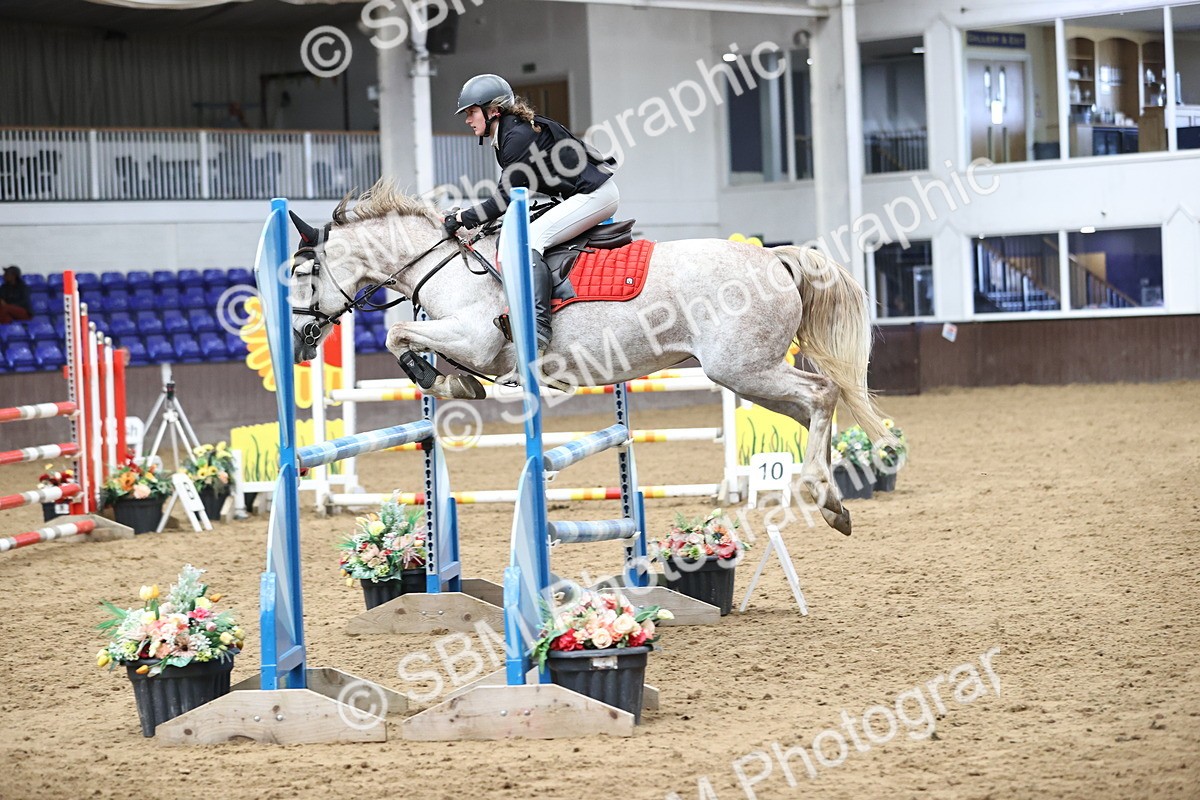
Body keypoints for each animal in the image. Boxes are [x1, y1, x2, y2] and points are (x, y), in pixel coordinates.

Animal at [286, 184, 887, 535]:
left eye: (300, 271)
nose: (298, 343)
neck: (445, 264)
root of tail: (775, 259)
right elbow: (413, 341)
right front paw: (456, 384)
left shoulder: (476, 338)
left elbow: (398, 336)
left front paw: (443, 380)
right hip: (750, 376)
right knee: (814, 410)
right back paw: (834, 502)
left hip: (743, 369)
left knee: (822, 395)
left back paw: (819, 493)